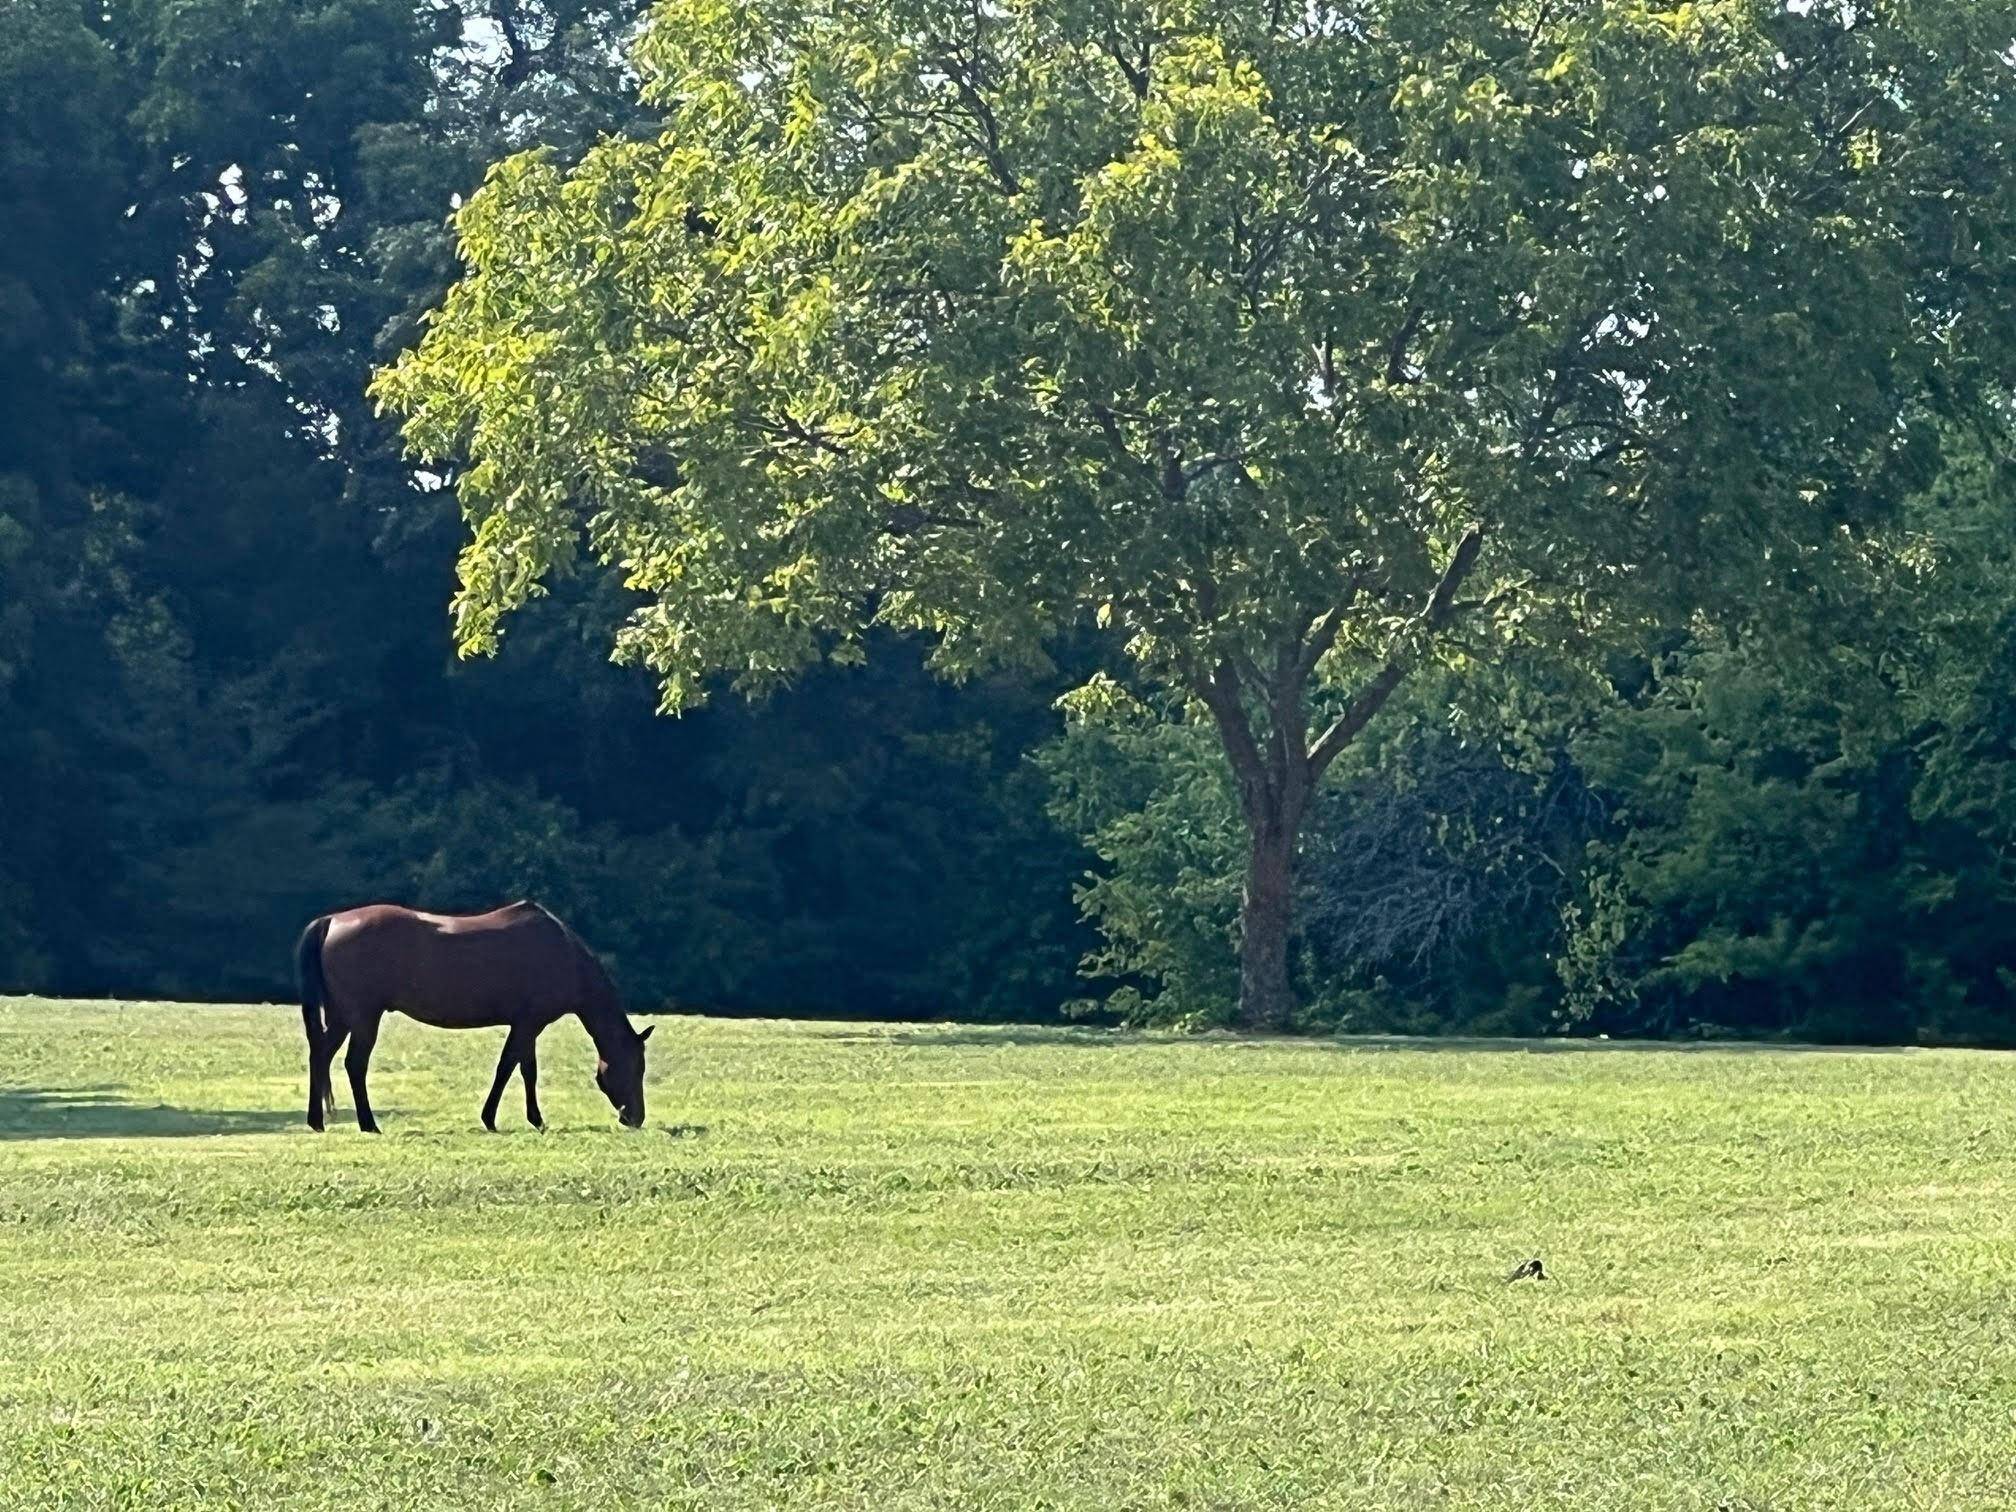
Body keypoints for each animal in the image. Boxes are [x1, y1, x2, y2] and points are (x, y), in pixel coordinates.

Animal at [294, 899, 653, 1137]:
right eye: (635, 1067)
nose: (635, 1118)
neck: (564, 955)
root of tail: (331, 920)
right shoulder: (529, 1023)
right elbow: (510, 1067)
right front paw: (495, 1118)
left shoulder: (527, 1024)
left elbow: (524, 1069)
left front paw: (531, 1119)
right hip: (364, 1017)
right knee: (354, 1064)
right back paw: (368, 1124)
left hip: (343, 1017)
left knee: (321, 1056)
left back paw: (317, 1121)